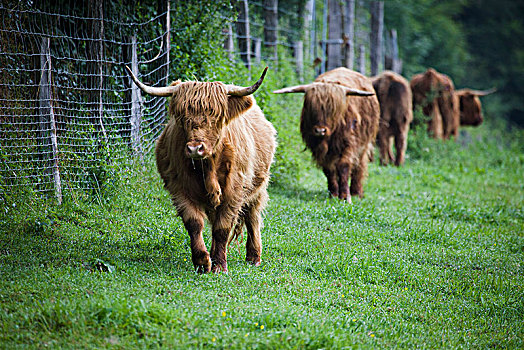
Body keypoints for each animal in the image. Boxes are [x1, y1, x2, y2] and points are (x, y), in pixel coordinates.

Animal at [126, 66, 278, 274]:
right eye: (183, 118)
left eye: (216, 118)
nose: (194, 148)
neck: (208, 167)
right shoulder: (179, 189)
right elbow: (195, 223)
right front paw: (203, 262)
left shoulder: (234, 191)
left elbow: (223, 228)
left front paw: (220, 265)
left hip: (257, 188)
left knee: (253, 217)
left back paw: (253, 257)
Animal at [272, 67, 378, 202]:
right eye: (312, 108)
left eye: (332, 110)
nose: (320, 130)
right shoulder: (319, 149)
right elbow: (328, 169)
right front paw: (333, 193)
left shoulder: (350, 143)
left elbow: (344, 166)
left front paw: (345, 196)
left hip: (364, 143)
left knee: (359, 166)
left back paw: (356, 192)